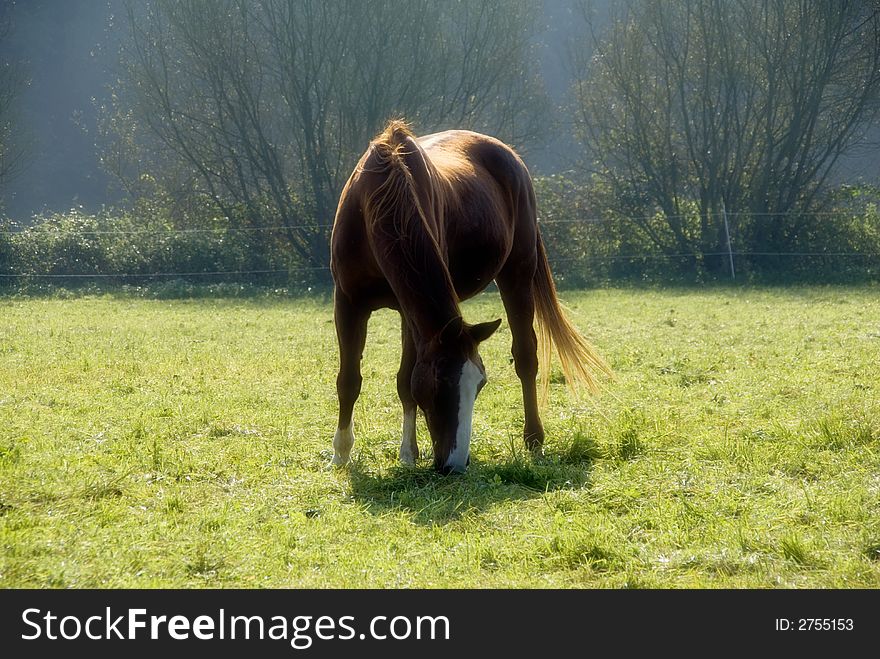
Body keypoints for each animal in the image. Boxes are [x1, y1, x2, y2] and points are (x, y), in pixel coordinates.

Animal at [326, 121, 608, 474]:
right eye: (441, 383)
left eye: (480, 385)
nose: (456, 464)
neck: (379, 198)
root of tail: (511, 158)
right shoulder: (348, 303)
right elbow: (349, 380)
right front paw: (341, 454)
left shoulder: (409, 313)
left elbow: (405, 382)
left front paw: (407, 454)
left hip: (517, 274)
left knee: (526, 356)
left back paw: (534, 439)